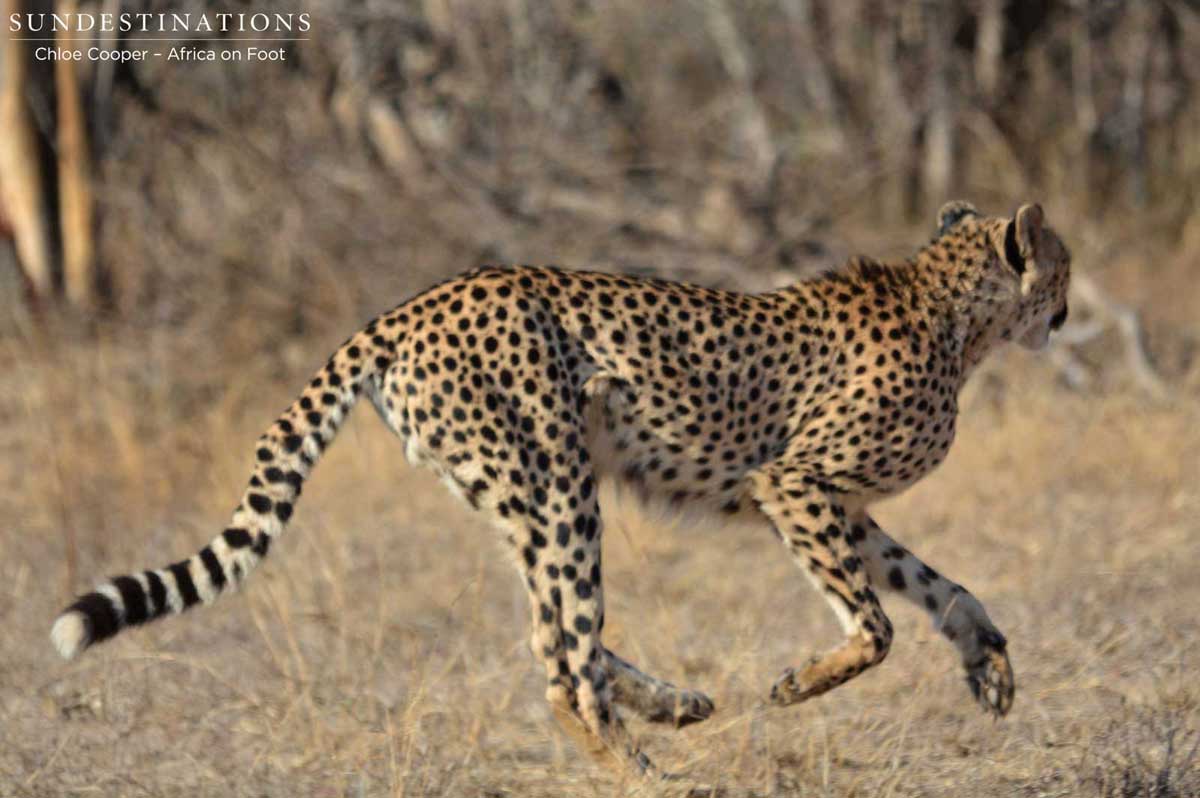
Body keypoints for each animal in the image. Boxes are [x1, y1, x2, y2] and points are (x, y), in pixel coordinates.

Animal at [51, 200, 1071, 778]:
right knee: (561, 661)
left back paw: (671, 706)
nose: (1067, 307)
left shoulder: (840, 505)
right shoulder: (795, 482)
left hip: (522, 494)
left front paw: (988, 664)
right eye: (1059, 263)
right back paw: (638, 766)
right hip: (556, 483)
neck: (955, 313)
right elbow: (877, 625)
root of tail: (406, 307)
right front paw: (795, 685)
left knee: (553, 637)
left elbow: (941, 588)